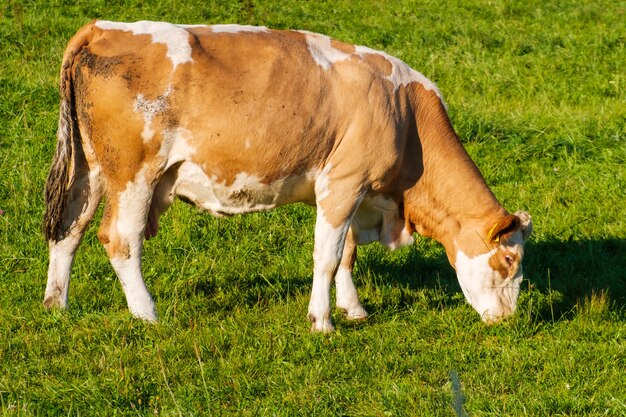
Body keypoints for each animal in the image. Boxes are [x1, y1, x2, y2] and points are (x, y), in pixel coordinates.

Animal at [42, 20, 532, 332]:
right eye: (510, 260)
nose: (509, 321)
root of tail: (102, 27)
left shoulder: (352, 193)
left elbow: (347, 254)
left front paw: (354, 309)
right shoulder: (343, 183)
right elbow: (328, 257)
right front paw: (323, 322)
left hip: (88, 170)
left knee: (69, 230)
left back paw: (56, 304)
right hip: (134, 172)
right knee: (120, 238)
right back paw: (147, 314)